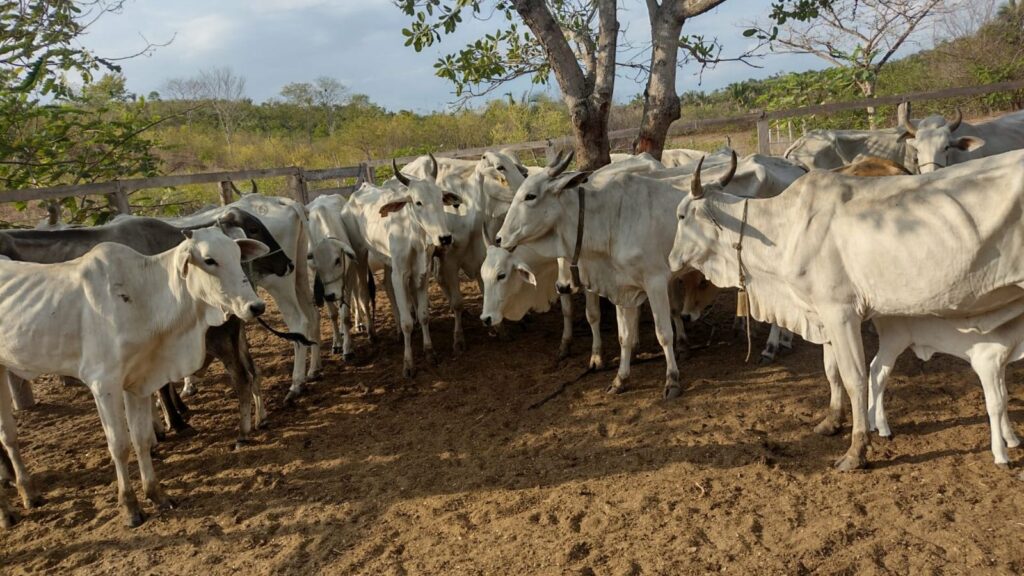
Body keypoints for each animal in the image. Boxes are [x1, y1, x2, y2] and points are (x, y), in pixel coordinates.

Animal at [0, 227, 268, 524]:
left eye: (237, 254)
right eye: (210, 260)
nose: (256, 306)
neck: (142, 296)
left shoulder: (139, 381)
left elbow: (140, 439)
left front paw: (156, 494)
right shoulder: (104, 385)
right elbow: (120, 445)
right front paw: (130, 506)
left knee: (8, 435)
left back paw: (28, 493)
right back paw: (9, 511)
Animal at [868, 309, 1019, 467]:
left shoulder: (1000, 364)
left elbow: (1004, 398)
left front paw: (1011, 439)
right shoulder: (987, 362)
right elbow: (996, 404)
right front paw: (1001, 455)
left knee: (876, 371)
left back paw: (876, 425)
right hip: (894, 340)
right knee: (879, 373)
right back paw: (881, 426)